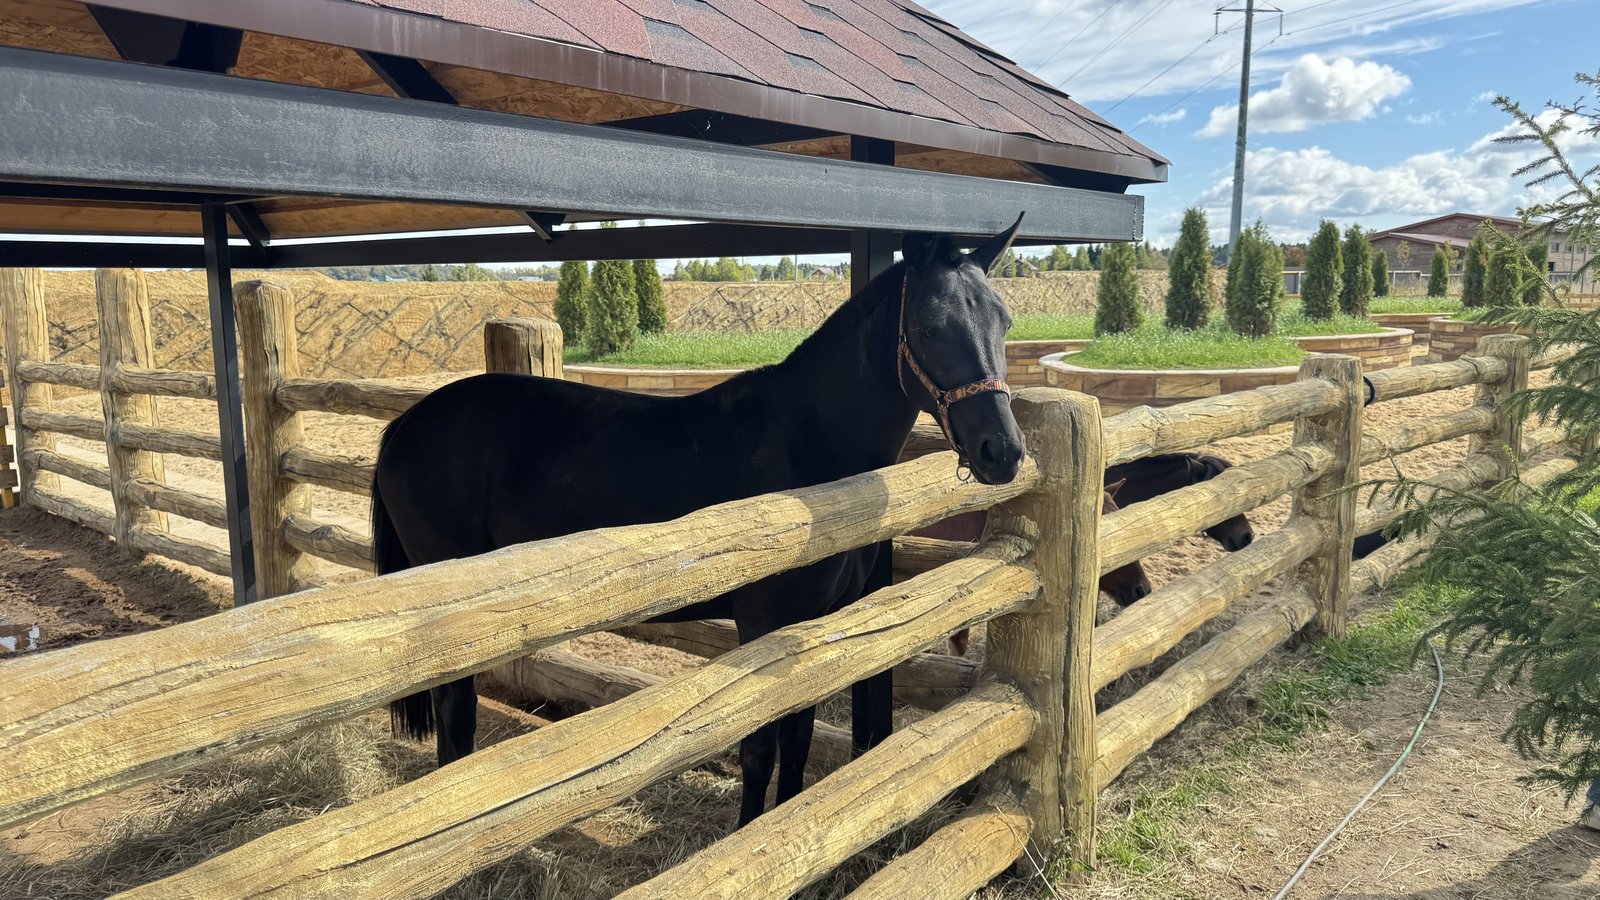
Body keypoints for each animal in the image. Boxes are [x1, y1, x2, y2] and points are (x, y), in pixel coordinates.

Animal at [371, 218, 1029, 826]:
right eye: (929, 327)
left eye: (1004, 321)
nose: (1002, 450)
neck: (806, 448)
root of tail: (405, 426)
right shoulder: (762, 624)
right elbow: (760, 750)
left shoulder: (811, 625)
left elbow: (797, 741)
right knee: (455, 715)